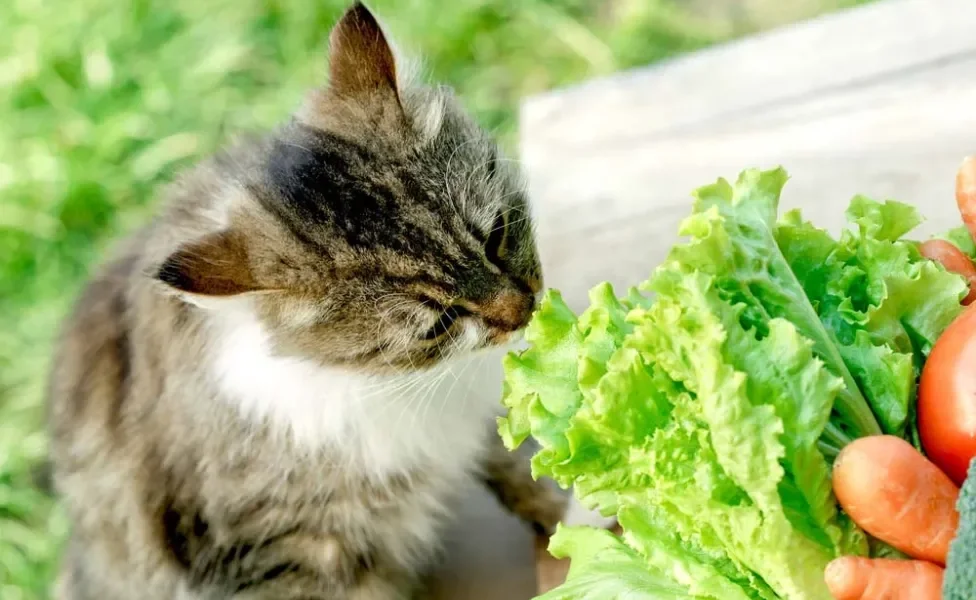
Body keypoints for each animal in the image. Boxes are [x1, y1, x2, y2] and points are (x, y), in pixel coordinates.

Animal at [45, 3, 608, 600]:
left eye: (497, 235)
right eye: (437, 324)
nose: (524, 312)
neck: (374, 384)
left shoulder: (472, 427)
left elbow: (523, 471)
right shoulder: (290, 555)